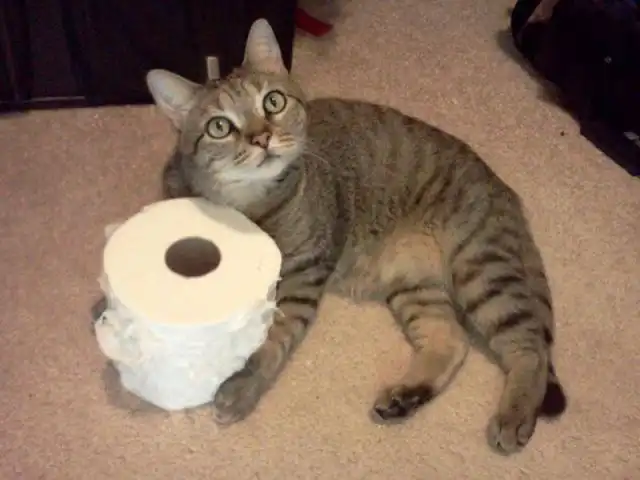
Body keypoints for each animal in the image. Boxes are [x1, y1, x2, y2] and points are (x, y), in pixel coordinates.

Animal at [145, 19, 567, 455]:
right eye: (219, 126)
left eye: (273, 102)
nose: (261, 138)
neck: (249, 206)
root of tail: (504, 188)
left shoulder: (303, 275)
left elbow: (272, 338)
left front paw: (241, 387)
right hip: (416, 285)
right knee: (450, 339)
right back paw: (405, 396)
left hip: (482, 270)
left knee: (530, 347)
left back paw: (515, 415)